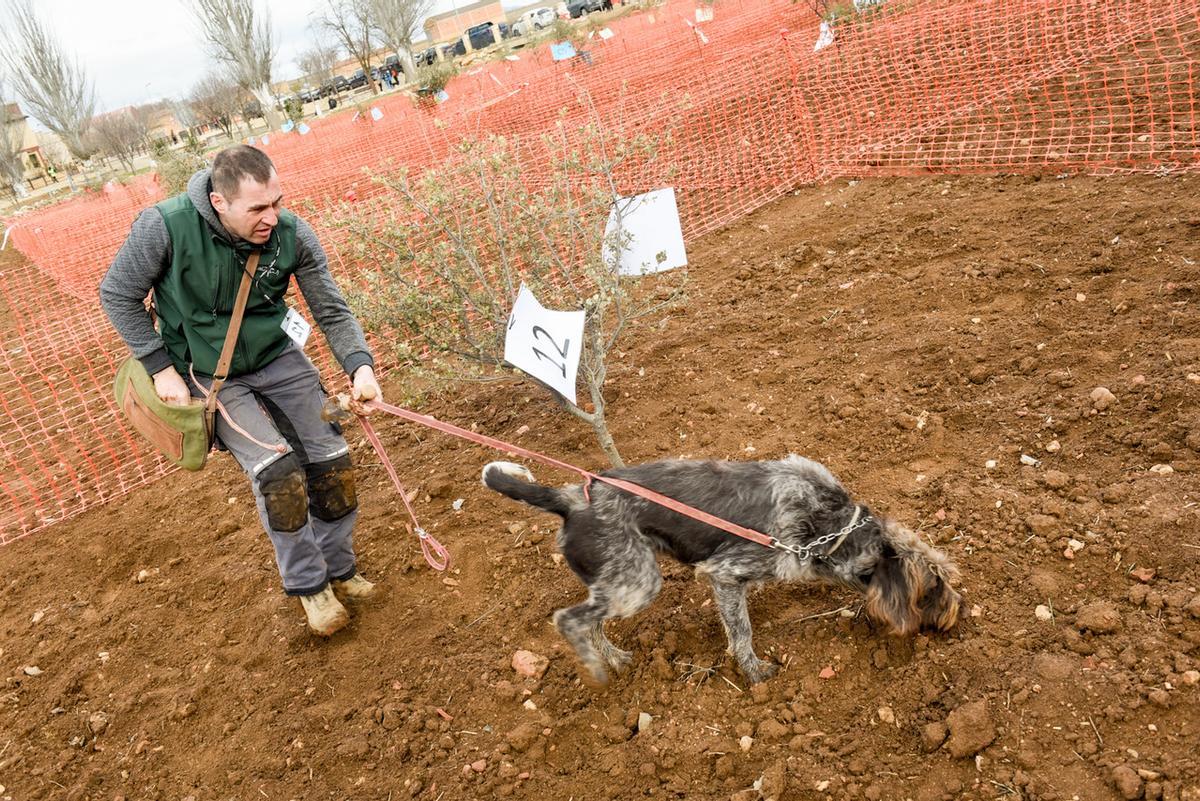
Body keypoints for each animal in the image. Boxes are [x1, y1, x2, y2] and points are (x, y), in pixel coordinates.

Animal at [482, 453, 960, 685]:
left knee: (592, 620)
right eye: (932, 588)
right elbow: (742, 633)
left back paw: (614, 658)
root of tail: (569, 499)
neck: (830, 525)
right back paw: (598, 669)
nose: (960, 612)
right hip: (638, 583)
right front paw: (754, 673)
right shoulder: (726, 574)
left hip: (617, 583)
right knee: (570, 619)